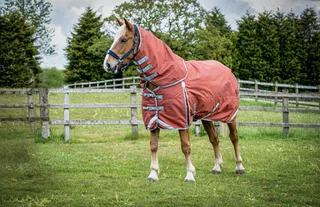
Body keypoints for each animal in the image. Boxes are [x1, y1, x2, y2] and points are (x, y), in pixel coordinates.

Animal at [104, 18, 244, 182]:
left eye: (124, 39)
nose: (108, 64)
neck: (165, 79)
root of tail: (228, 71)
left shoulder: (182, 120)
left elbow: (186, 146)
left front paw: (189, 174)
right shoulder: (154, 119)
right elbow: (153, 145)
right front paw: (153, 174)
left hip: (230, 115)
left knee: (234, 137)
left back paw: (239, 167)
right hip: (206, 116)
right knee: (214, 139)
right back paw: (216, 167)